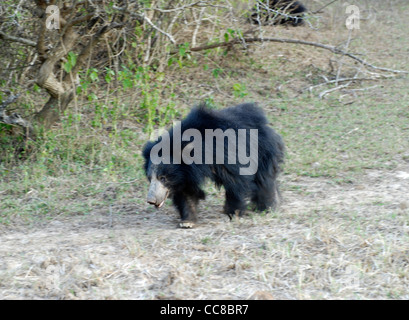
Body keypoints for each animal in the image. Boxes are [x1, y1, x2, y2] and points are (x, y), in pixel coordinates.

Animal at [143, 102, 284, 228]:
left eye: (163, 178)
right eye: (150, 178)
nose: (151, 200)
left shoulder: (226, 153)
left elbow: (236, 181)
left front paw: (233, 213)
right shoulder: (185, 175)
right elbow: (186, 193)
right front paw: (187, 221)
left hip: (262, 151)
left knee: (264, 179)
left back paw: (268, 206)